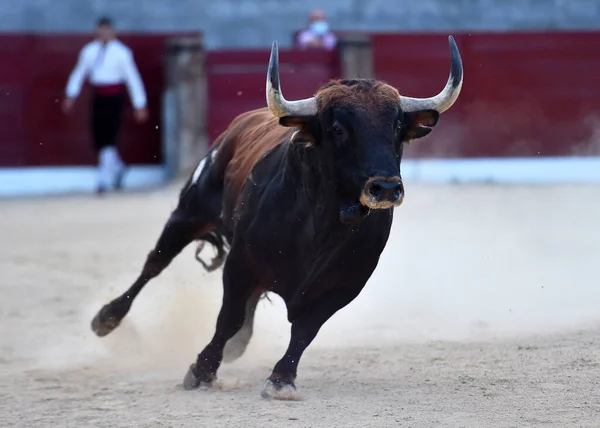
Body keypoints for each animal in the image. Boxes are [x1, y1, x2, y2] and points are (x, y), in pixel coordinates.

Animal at [90, 35, 464, 400]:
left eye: (398, 127)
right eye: (338, 129)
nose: (385, 187)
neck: (324, 225)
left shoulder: (346, 284)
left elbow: (306, 329)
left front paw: (282, 378)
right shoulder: (240, 261)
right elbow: (229, 316)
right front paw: (202, 371)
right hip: (189, 210)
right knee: (155, 263)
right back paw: (105, 319)